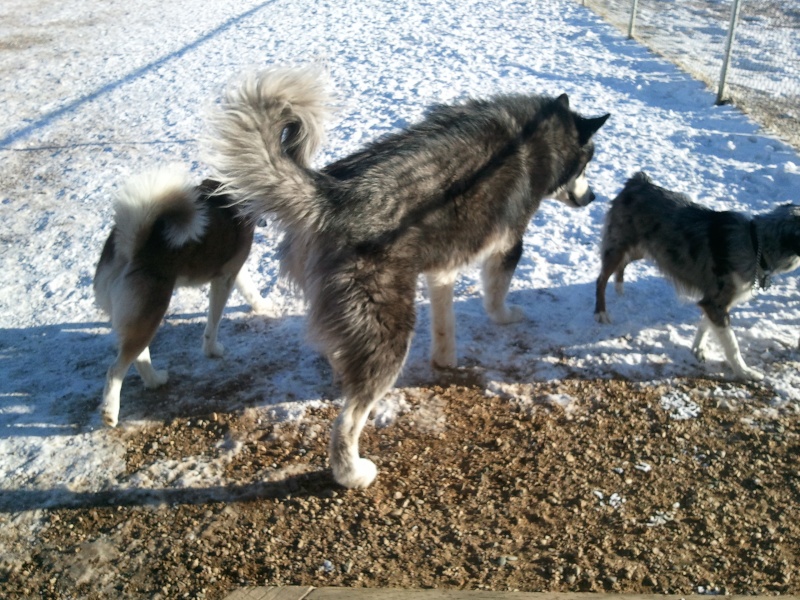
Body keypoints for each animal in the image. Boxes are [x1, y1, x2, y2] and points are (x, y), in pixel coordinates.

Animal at [94, 164, 268, 426]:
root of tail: (130, 247)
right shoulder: (223, 278)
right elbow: (213, 322)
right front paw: (213, 350)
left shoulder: (233, 271)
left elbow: (249, 290)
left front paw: (264, 307)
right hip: (153, 310)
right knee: (116, 369)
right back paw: (110, 412)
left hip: (142, 316)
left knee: (137, 355)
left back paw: (155, 380)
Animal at [203, 65, 608, 488]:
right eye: (585, 166)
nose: (593, 197)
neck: (531, 135)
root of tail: (332, 196)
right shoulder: (508, 244)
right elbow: (496, 298)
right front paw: (508, 316)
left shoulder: (443, 266)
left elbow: (445, 323)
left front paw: (445, 360)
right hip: (390, 328)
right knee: (347, 421)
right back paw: (352, 473)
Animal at [592, 171, 800, 382]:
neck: (756, 243)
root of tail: (638, 181)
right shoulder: (716, 303)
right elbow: (732, 343)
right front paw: (743, 371)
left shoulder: (714, 302)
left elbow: (704, 325)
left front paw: (698, 349)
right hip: (619, 246)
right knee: (601, 279)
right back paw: (601, 312)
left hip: (643, 248)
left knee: (622, 265)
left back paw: (620, 288)